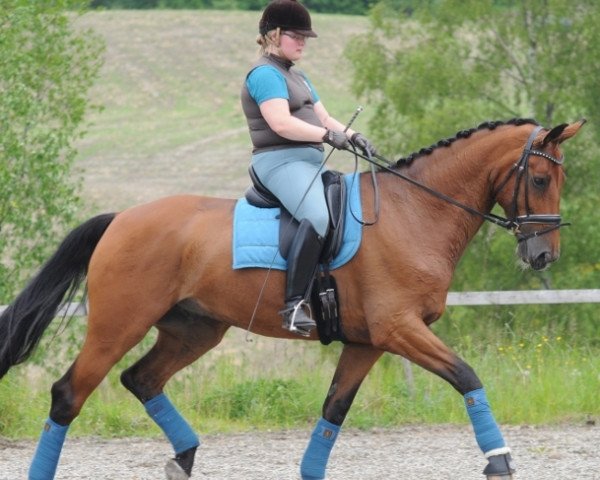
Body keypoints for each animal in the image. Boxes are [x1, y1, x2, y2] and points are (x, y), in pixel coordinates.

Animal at [0, 117, 584, 480]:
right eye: (538, 178)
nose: (543, 256)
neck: (413, 212)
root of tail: (122, 218)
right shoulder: (399, 329)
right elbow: (467, 376)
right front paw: (500, 459)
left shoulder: (369, 341)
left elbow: (334, 409)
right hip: (118, 325)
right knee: (68, 394)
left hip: (194, 330)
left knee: (141, 379)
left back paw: (184, 458)